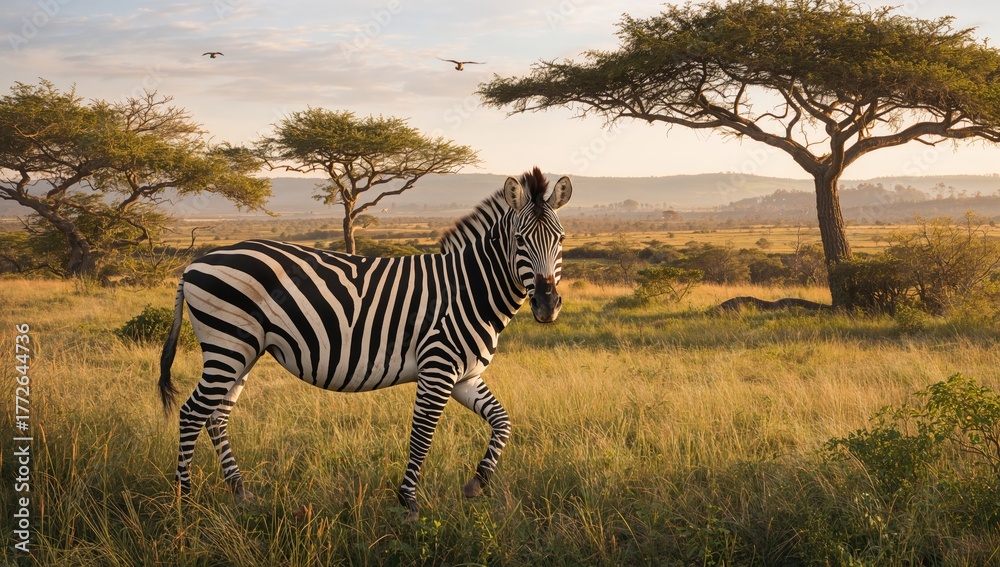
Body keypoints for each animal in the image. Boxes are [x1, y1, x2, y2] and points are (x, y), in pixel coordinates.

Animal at [158, 167, 572, 520]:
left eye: (561, 239)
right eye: (519, 240)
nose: (547, 304)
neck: (468, 289)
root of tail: (194, 263)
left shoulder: (465, 376)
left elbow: (503, 422)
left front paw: (476, 483)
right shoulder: (437, 368)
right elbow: (422, 436)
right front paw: (408, 503)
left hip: (243, 350)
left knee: (217, 415)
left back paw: (239, 492)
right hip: (228, 343)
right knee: (193, 412)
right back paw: (184, 501)